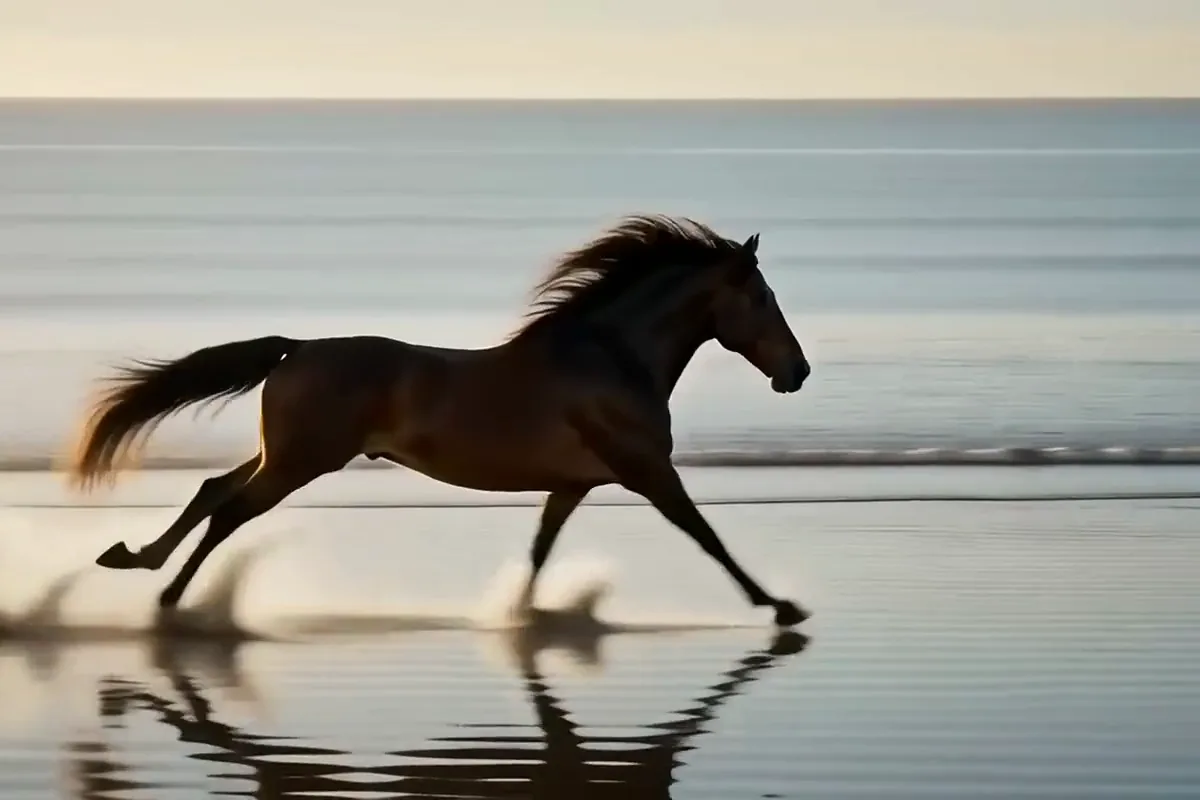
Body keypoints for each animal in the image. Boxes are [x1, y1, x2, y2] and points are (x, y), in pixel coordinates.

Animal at [66, 214, 813, 626]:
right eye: (763, 298)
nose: (797, 372)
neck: (610, 358)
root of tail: (297, 348)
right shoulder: (648, 470)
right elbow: (706, 536)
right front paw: (781, 607)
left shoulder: (573, 484)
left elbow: (540, 549)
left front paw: (521, 617)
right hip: (301, 461)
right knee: (228, 512)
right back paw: (169, 603)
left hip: (284, 454)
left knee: (212, 491)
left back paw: (132, 558)